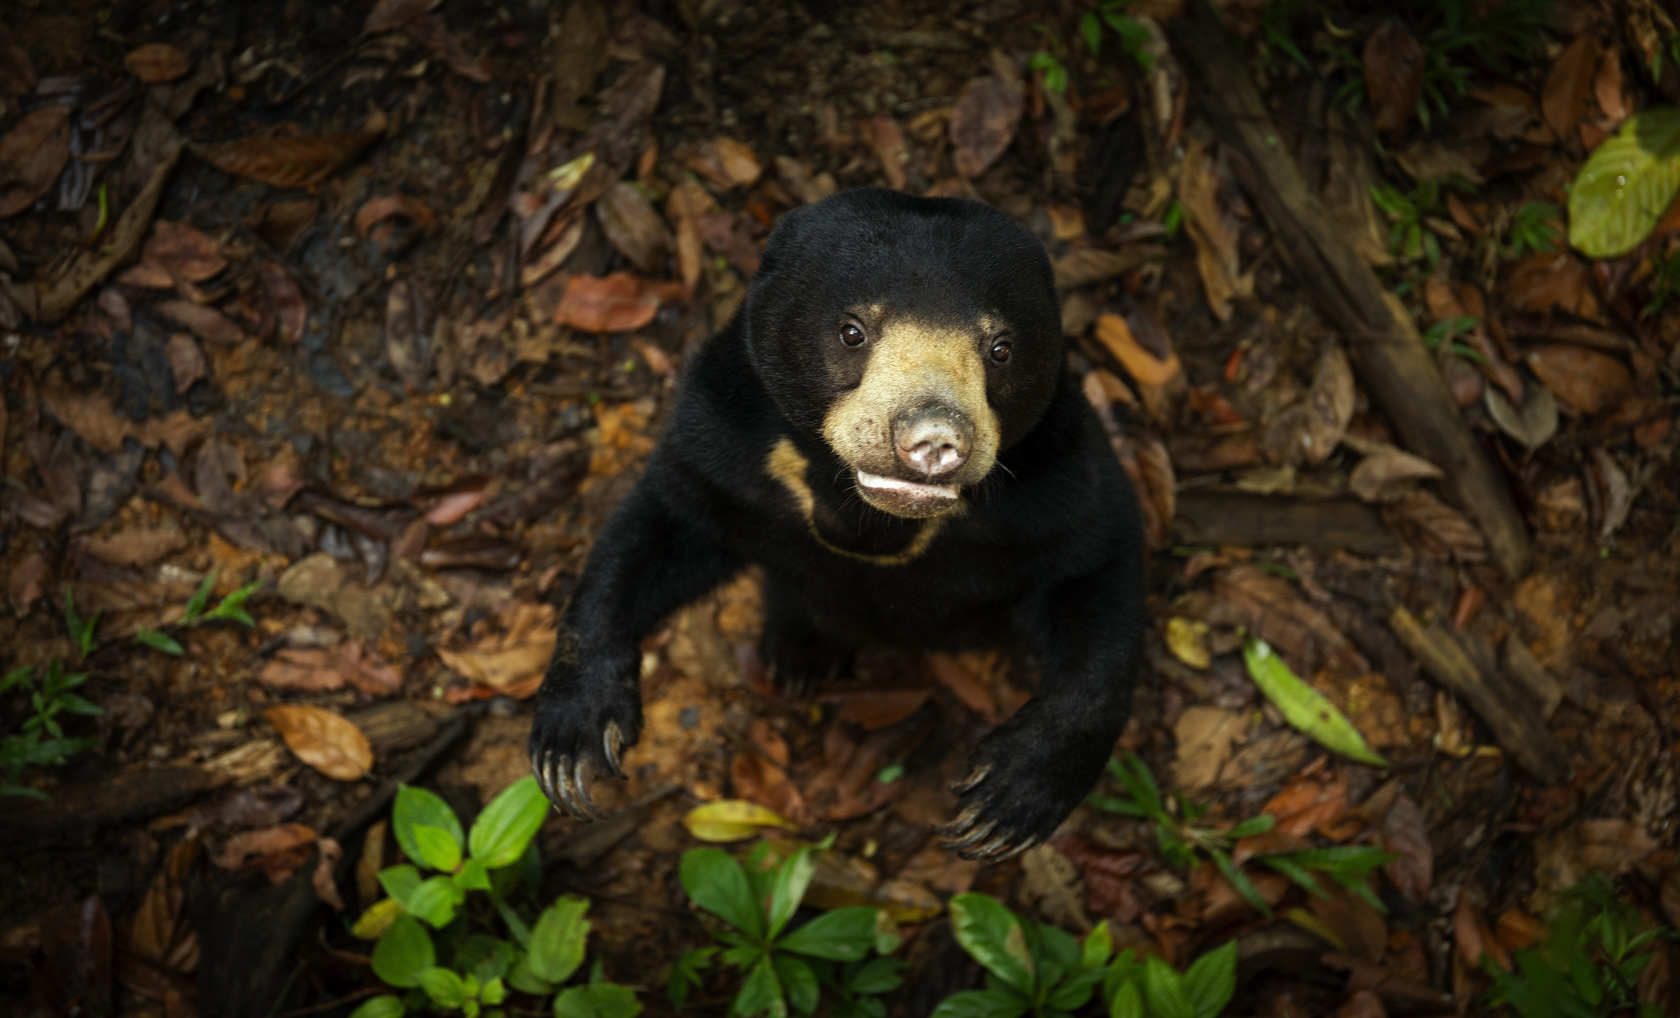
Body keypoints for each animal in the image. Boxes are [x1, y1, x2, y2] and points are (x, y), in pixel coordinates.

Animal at [530, 185, 1149, 860]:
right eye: (853, 332)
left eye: (1000, 349)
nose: (934, 438)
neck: (868, 519)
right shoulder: (722, 445)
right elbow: (658, 532)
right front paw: (573, 746)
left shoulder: (1054, 487)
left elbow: (1097, 567)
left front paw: (1002, 805)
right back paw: (800, 657)